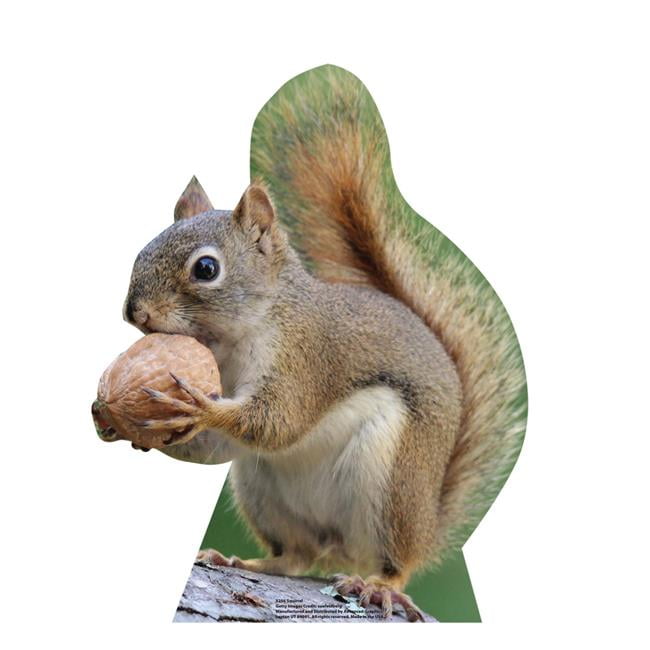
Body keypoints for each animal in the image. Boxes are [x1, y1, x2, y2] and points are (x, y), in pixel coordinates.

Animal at [123, 66, 526, 621]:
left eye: (206, 268)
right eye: (142, 251)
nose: (134, 313)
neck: (233, 339)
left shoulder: (306, 358)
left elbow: (278, 421)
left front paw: (199, 407)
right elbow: (217, 447)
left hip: (391, 482)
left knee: (394, 561)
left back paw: (380, 585)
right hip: (261, 489)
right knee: (297, 556)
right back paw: (244, 561)